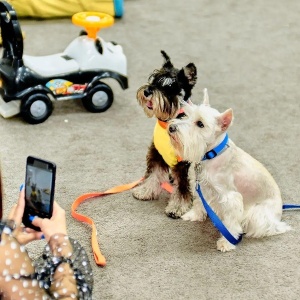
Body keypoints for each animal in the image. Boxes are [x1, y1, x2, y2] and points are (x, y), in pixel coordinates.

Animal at [166, 90, 290, 252]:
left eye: (200, 124)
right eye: (186, 115)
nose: (171, 128)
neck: (211, 154)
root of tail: (279, 213)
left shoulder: (230, 198)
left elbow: (230, 223)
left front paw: (226, 242)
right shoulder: (201, 186)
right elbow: (199, 203)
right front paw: (193, 215)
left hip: (258, 215)